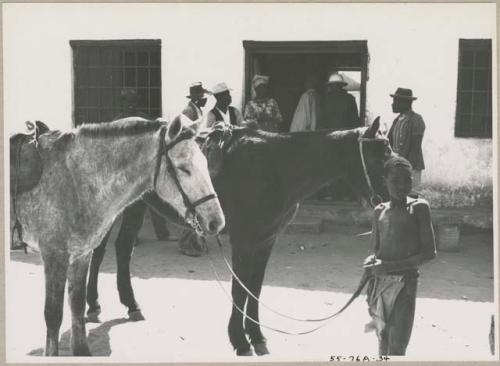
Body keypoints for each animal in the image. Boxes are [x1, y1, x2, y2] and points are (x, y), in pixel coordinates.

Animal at [9, 116, 225, 354]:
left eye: (205, 163)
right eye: (184, 168)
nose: (216, 221)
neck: (73, 179)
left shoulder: (81, 255)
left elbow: (76, 305)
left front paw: (82, 350)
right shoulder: (54, 257)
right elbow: (53, 316)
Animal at [86, 118, 390, 356]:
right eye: (380, 157)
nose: (387, 202)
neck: (275, 168)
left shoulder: (266, 241)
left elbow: (254, 288)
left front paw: (257, 335)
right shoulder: (243, 239)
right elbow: (239, 288)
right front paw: (239, 340)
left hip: (135, 205)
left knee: (123, 248)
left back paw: (131, 305)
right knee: (99, 251)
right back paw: (93, 304)